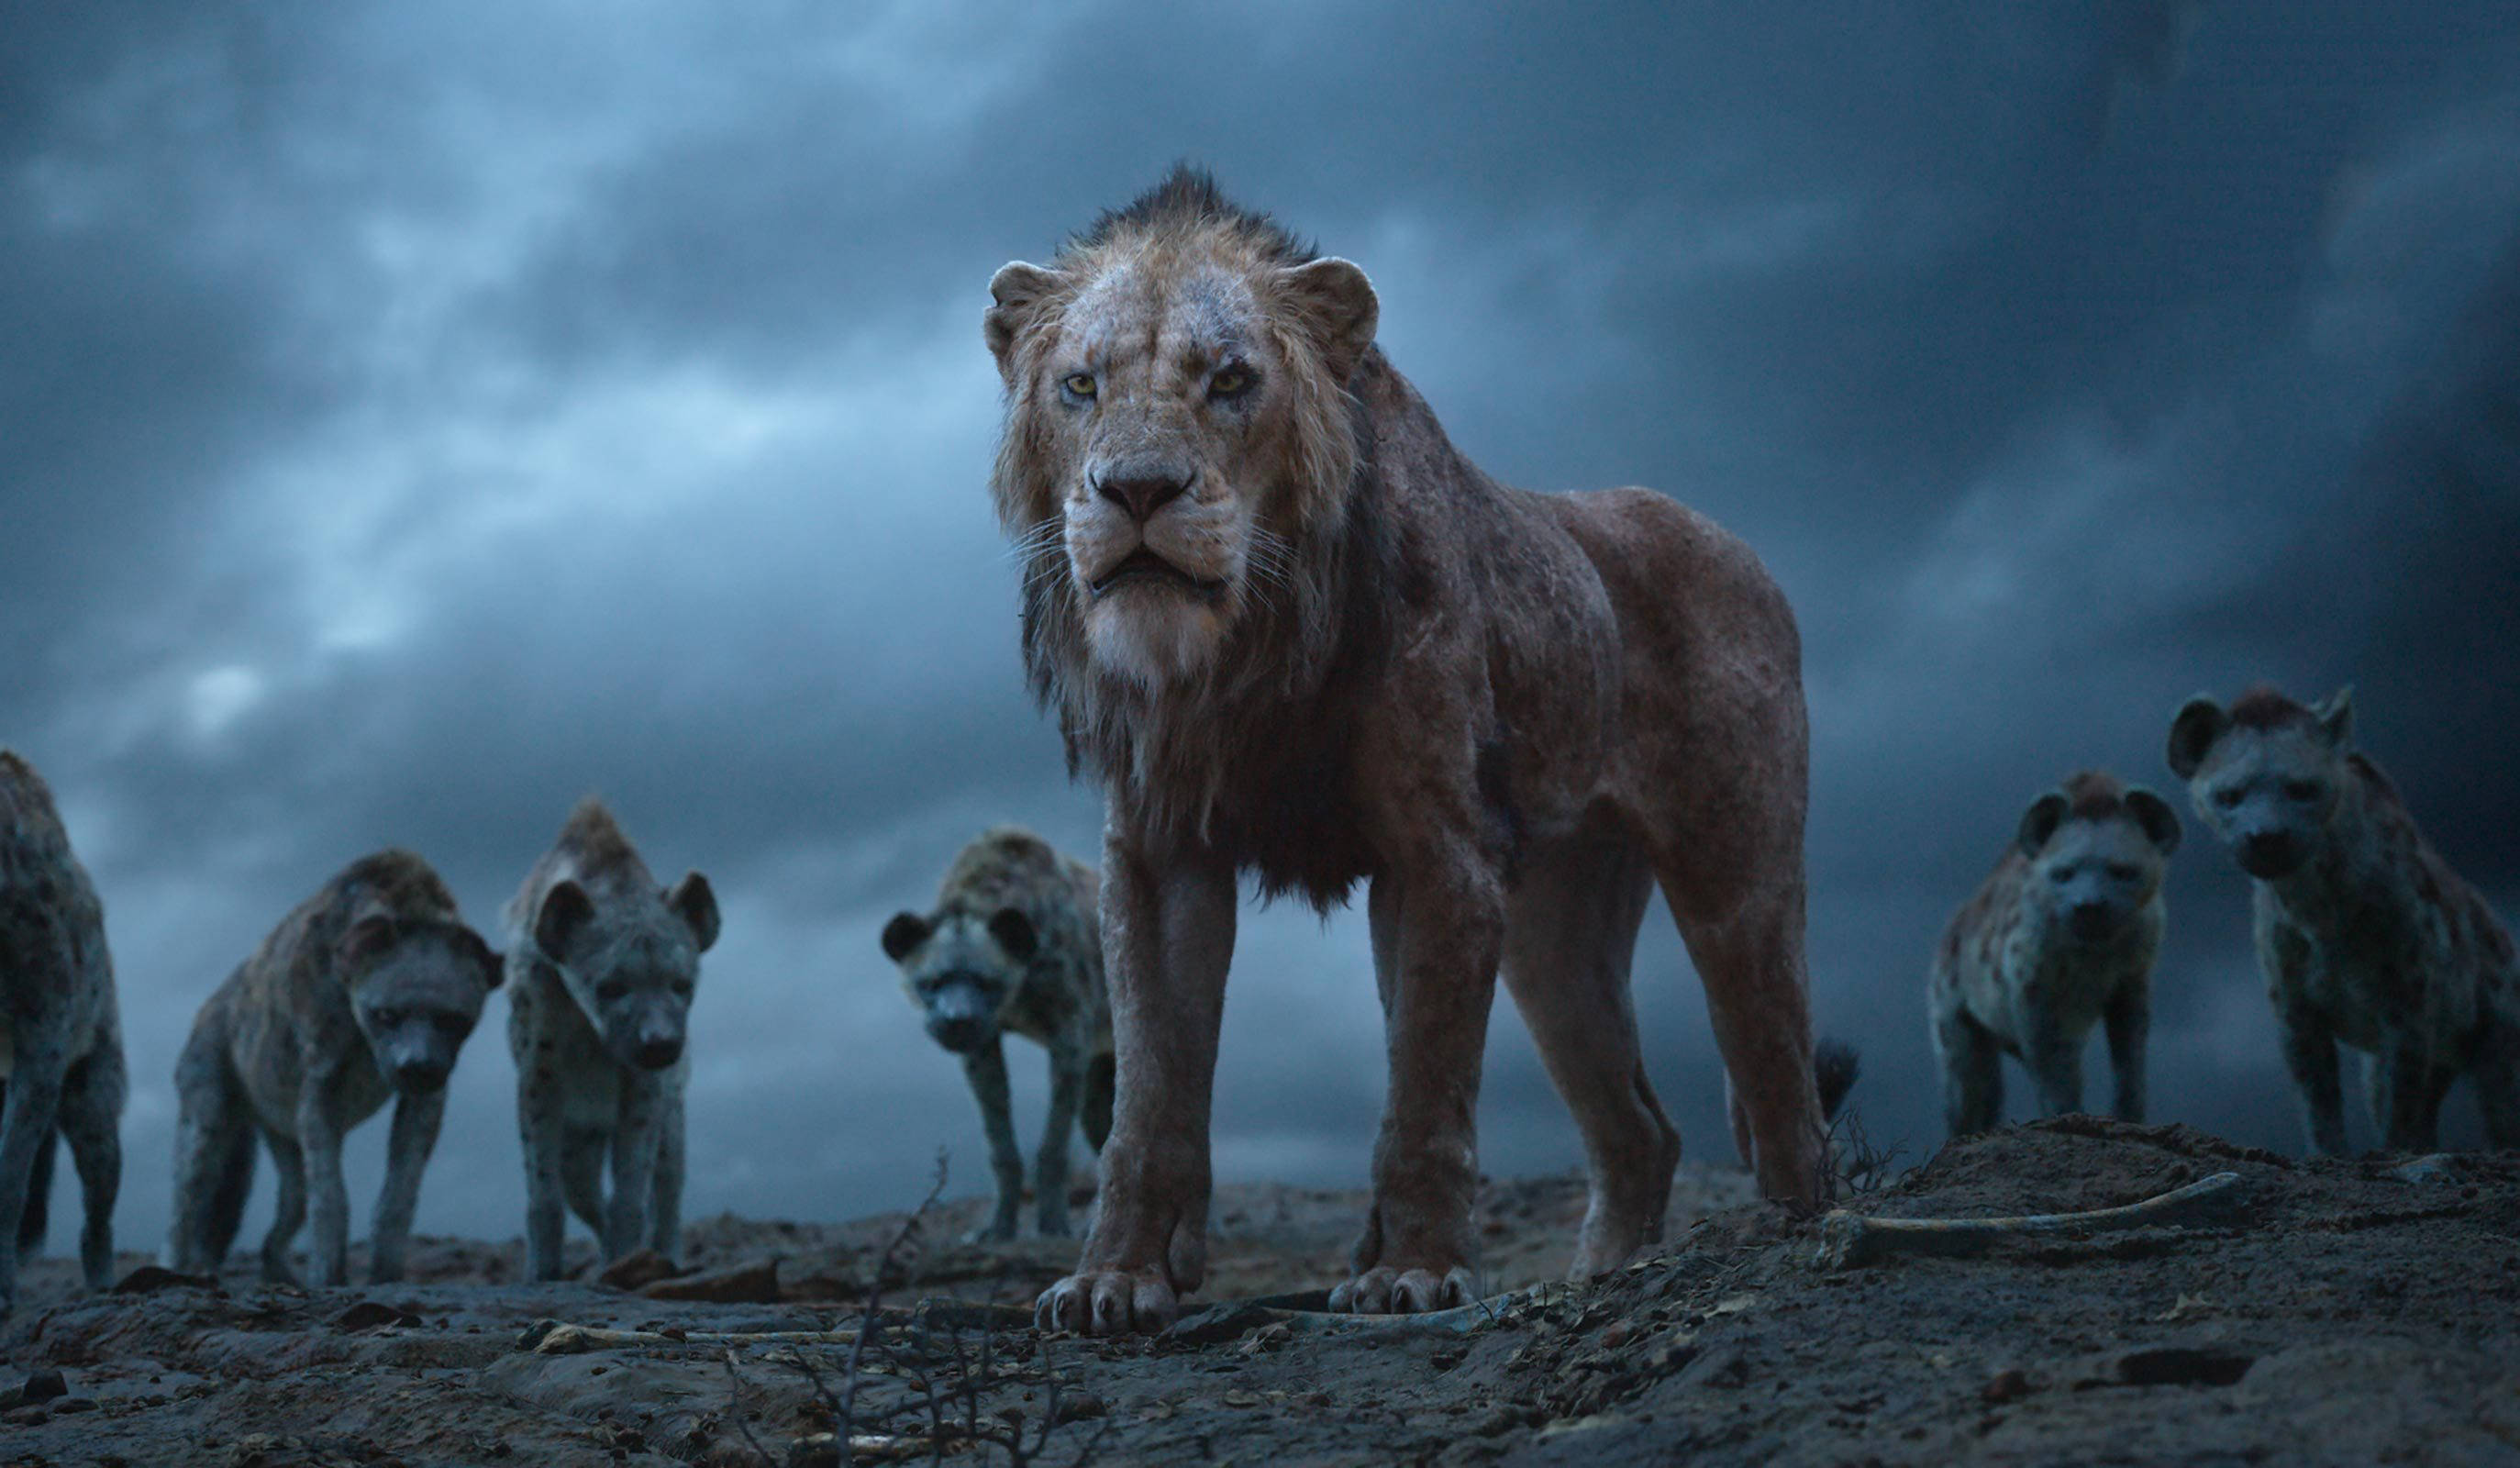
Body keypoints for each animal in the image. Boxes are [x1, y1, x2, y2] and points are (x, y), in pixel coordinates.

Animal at [986, 167, 1834, 1335]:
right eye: (1078, 384)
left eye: (1231, 380)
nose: (1137, 490)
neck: (1244, 649)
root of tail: (1748, 555)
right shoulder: (1156, 857)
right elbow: (1148, 1091)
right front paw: (1116, 1277)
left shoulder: (1438, 850)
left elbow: (1424, 1079)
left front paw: (1415, 1271)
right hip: (1552, 937)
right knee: (1639, 1129)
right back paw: (1601, 1275)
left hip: (1731, 873)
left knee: (1775, 1066)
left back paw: (1800, 1232)